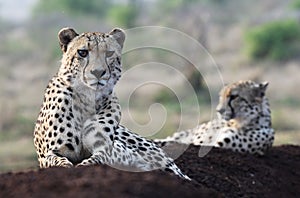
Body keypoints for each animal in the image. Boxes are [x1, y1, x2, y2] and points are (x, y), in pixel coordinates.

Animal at [33, 27, 190, 180]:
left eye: (109, 53)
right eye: (82, 52)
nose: (98, 72)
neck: (88, 99)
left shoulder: (104, 150)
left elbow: (94, 161)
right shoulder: (51, 153)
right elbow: (60, 162)